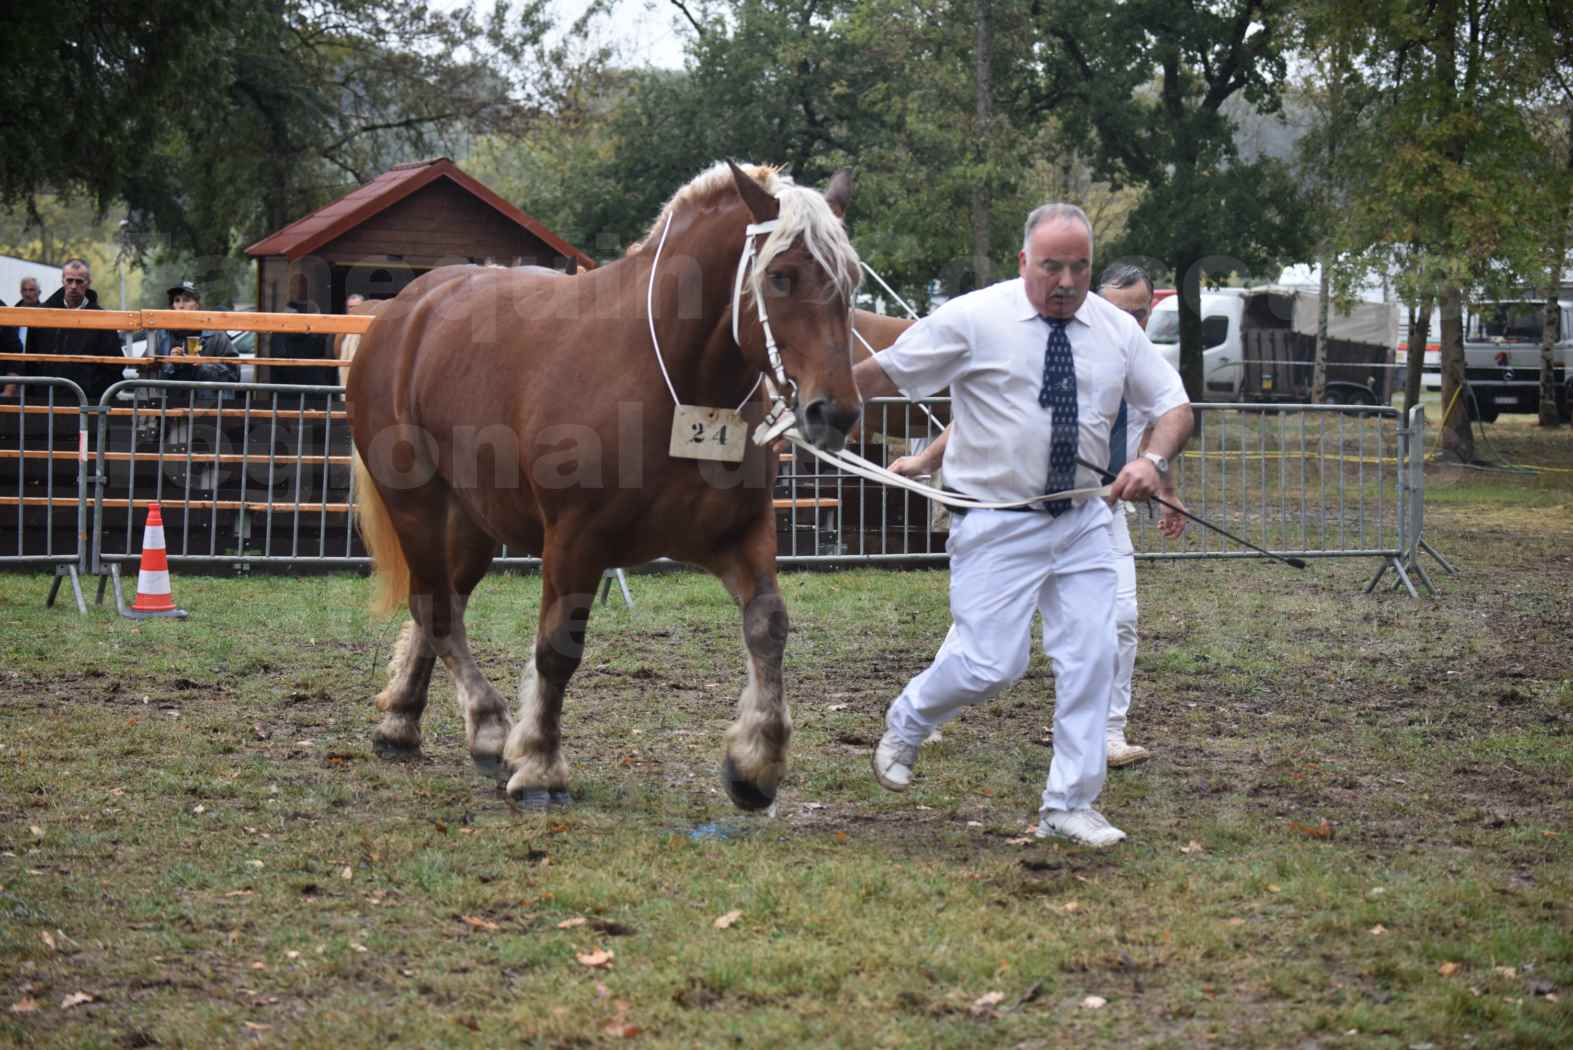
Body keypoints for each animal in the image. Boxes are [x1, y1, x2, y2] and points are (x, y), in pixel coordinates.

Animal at [347, 160, 862, 811]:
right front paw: (539, 763)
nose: (834, 412)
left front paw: (755, 762)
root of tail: (404, 309)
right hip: (415, 505)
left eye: (850, 282)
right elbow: (557, 649)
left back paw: (404, 720)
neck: (674, 379)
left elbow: (768, 626)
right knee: (434, 607)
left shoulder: (739, 534)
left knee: (444, 602)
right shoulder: (575, 541)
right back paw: (487, 724)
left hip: (471, 522)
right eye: (781, 277)